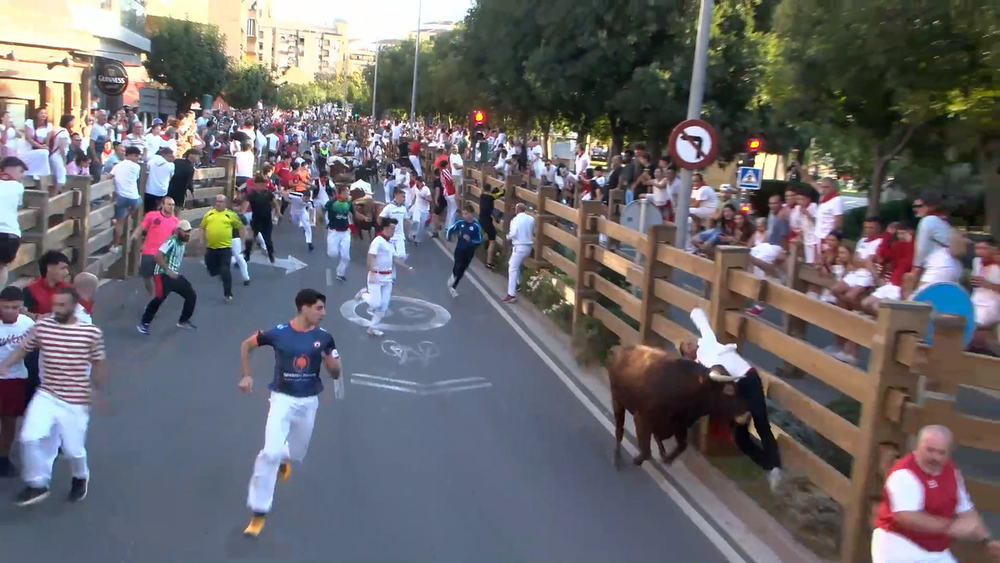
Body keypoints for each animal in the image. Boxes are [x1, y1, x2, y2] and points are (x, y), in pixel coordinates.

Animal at [604, 346, 748, 470]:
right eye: (729, 391)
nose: (747, 414)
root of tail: (622, 351)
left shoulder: (680, 426)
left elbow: (682, 445)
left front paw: (666, 458)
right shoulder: (642, 419)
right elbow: (646, 452)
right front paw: (637, 460)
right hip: (617, 401)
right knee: (619, 430)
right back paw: (617, 457)